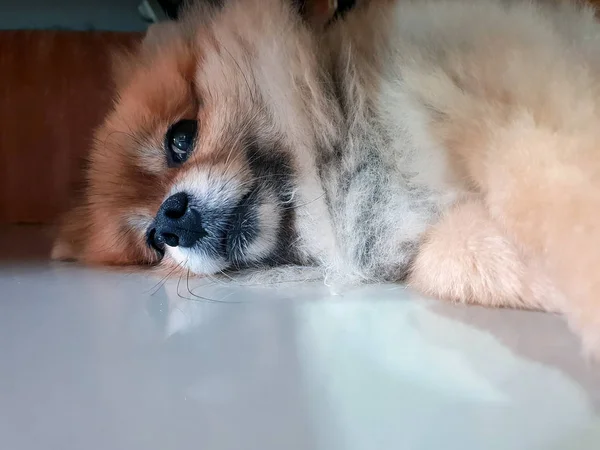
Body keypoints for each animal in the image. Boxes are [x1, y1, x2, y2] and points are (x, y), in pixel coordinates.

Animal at [51, 0, 600, 356]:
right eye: (153, 243)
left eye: (180, 139)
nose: (170, 221)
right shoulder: (412, 238)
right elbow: (454, 261)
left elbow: (551, 195)